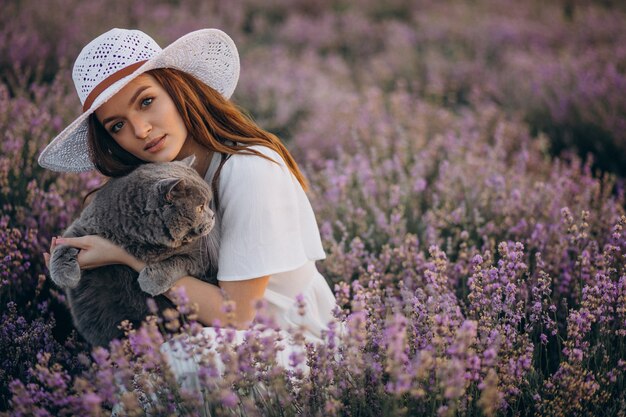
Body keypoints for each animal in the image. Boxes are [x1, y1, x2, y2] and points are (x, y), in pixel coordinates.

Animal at [47, 156, 217, 344]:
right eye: (200, 207)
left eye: (207, 204)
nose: (213, 216)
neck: (141, 239)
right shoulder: (83, 226)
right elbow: (63, 245)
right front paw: (64, 274)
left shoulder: (202, 257)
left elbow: (178, 260)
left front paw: (151, 280)